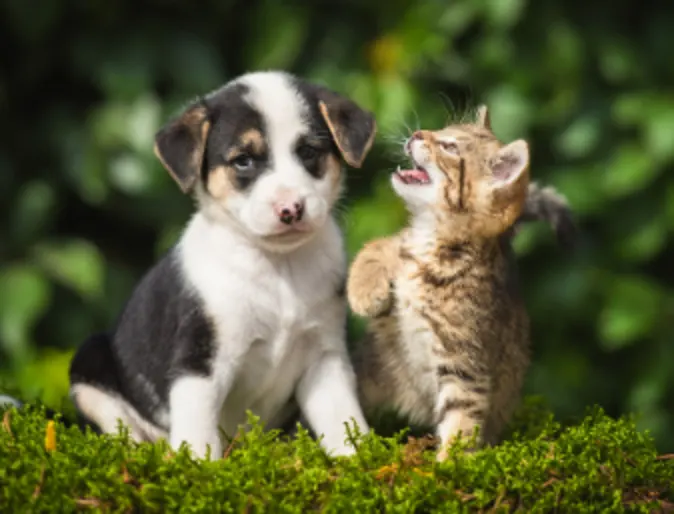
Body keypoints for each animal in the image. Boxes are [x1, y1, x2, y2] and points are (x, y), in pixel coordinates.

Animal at [71, 70, 380, 458]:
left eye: (309, 152)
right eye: (243, 161)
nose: (290, 209)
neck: (278, 267)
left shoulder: (324, 357)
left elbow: (343, 420)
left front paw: (362, 459)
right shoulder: (199, 364)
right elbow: (198, 435)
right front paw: (198, 468)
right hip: (89, 366)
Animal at [346, 106, 560, 458]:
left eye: (449, 147)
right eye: (440, 130)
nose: (417, 134)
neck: (433, 242)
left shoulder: (464, 361)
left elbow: (461, 418)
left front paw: (448, 465)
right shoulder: (402, 248)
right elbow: (376, 247)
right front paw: (364, 293)